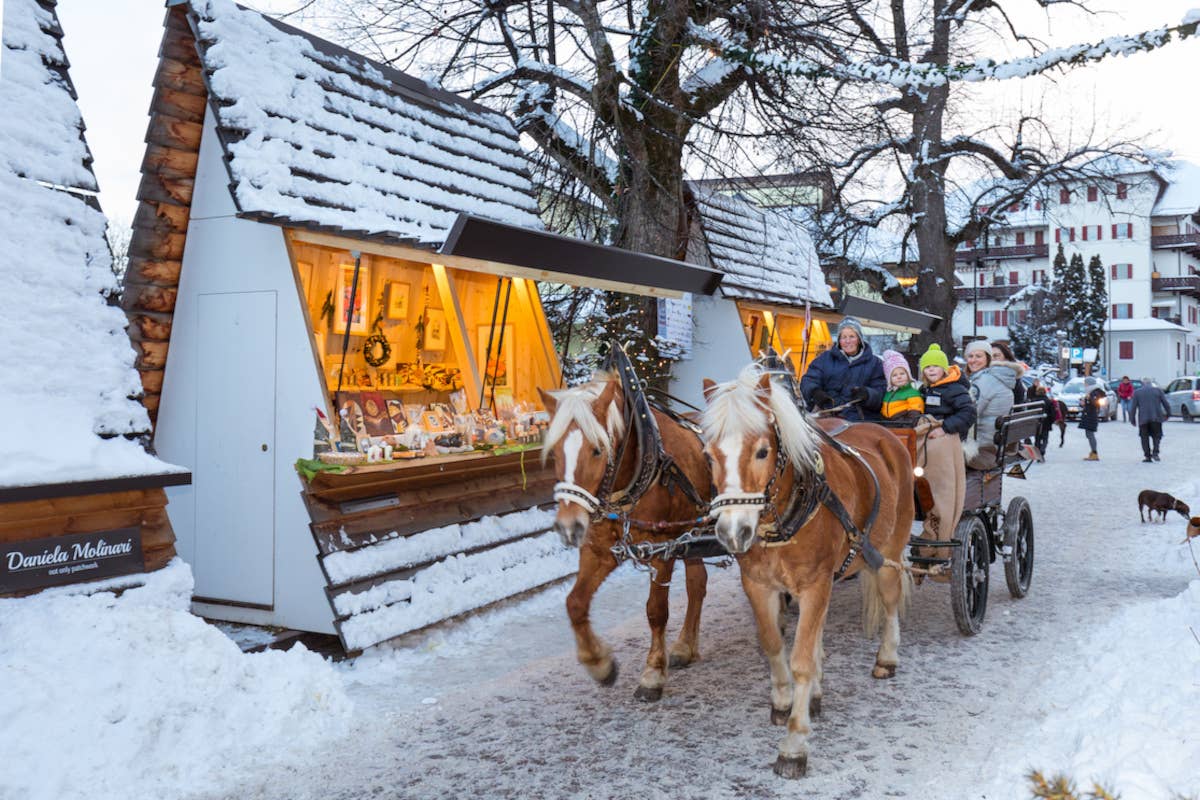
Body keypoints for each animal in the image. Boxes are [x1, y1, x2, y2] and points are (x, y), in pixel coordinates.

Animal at [537, 376, 710, 700]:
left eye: (597, 450)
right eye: (554, 452)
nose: (568, 526)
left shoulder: (662, 548)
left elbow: (656, 611)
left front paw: (653, 674)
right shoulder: (599, 549)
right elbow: (575, 603)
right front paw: (599, 663)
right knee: (697, 584)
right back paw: (684, 647)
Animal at [700, 367, 912, 777]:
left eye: (762, 451)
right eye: (709, 455)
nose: (733, 532)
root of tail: (883, 433)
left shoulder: (815, 584)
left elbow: (799, 660)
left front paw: (794, 744)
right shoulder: (758, 585)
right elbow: (773, 644)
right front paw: (785, 700)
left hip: (889, 552)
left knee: (892, 601)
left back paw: (887, 658)